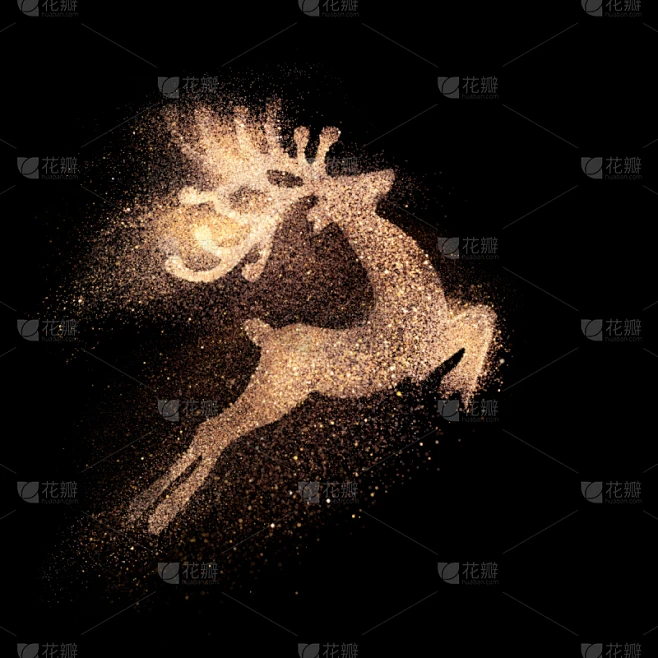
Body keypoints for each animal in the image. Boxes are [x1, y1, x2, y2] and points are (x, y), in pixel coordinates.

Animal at [127, 104, 496, 535]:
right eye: (350, 184)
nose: (387, 174)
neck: (407, 296)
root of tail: (268, 338)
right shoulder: (419, 354)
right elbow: (480, 321)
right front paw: (460, 387)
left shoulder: (442, 322)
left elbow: (480, 313)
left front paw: (461, 383)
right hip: (276, 391)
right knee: (215, 431)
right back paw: (159, 517)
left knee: (211, 429)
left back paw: (140, 509)